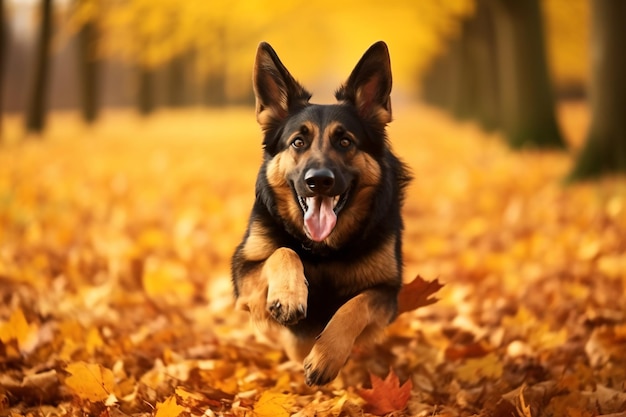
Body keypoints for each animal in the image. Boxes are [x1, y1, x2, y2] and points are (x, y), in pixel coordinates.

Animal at [229, 40, 410, 386]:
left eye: (345, 141)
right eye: (298, 142)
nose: (319, 181)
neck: (324, 250)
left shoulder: (387, 293)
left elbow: (355, 305)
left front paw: (326, 356)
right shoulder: (244, 274)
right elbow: (284, 252)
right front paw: (289, 298)